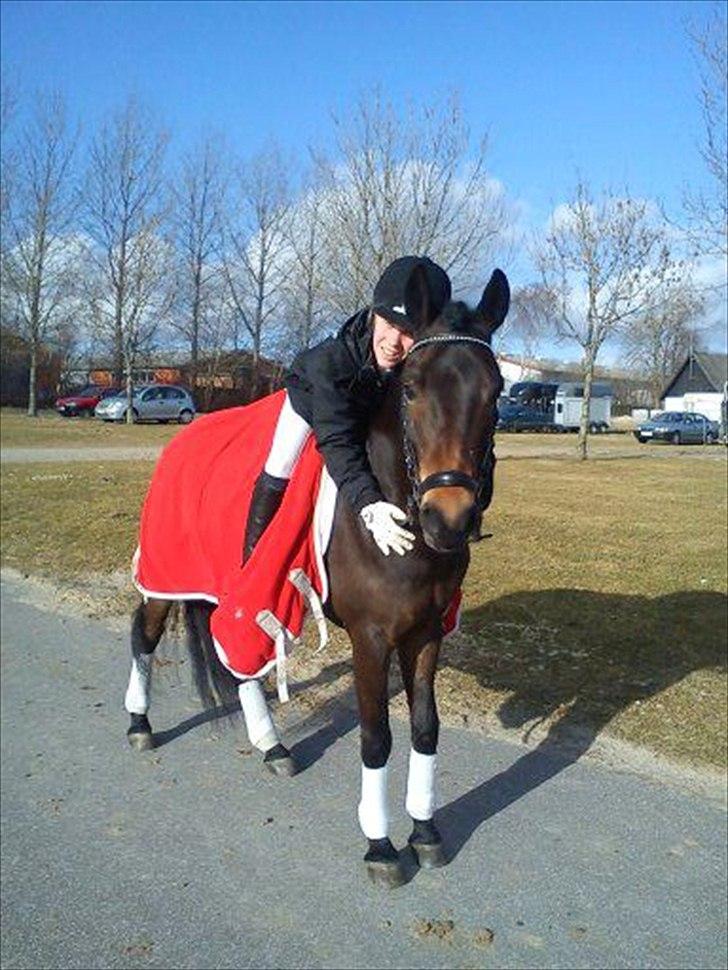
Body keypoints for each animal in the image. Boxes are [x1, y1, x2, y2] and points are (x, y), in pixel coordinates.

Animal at [124, 263, 508, 887]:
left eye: (496, 391)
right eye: (411, 388)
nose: (448, 519)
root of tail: (182, 438)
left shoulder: (426, 634)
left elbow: (425, 727)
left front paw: (425, 830)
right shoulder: (372, 639)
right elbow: (376, 737)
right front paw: (380, 845)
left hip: (237, 592)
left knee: (241, 659)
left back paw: (270, 745)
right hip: (165, 576)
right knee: (146, 636)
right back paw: (139, 723)